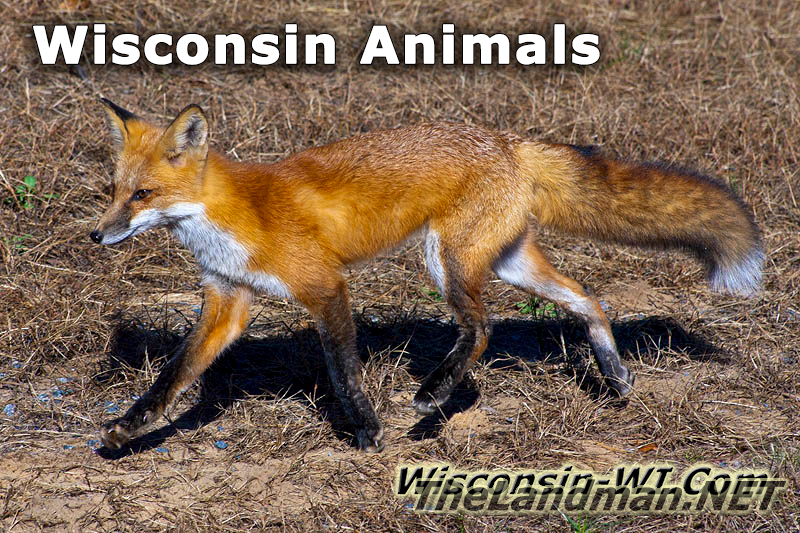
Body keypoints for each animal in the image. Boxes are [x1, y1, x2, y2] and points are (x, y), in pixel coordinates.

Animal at [91, 99, 763, 452]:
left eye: (143, 195)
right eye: (113, 192)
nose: (96, 236)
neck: (234, 217)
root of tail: (508, 140)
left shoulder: (326, 288)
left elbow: (343, 371)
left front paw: (365, 429)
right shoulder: (226, 303)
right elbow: (173, 377)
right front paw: (129, 427)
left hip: (447, 262)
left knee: (484, 328)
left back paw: (436, 393)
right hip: (509, 263)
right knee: (588, 300)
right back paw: (615, 373)